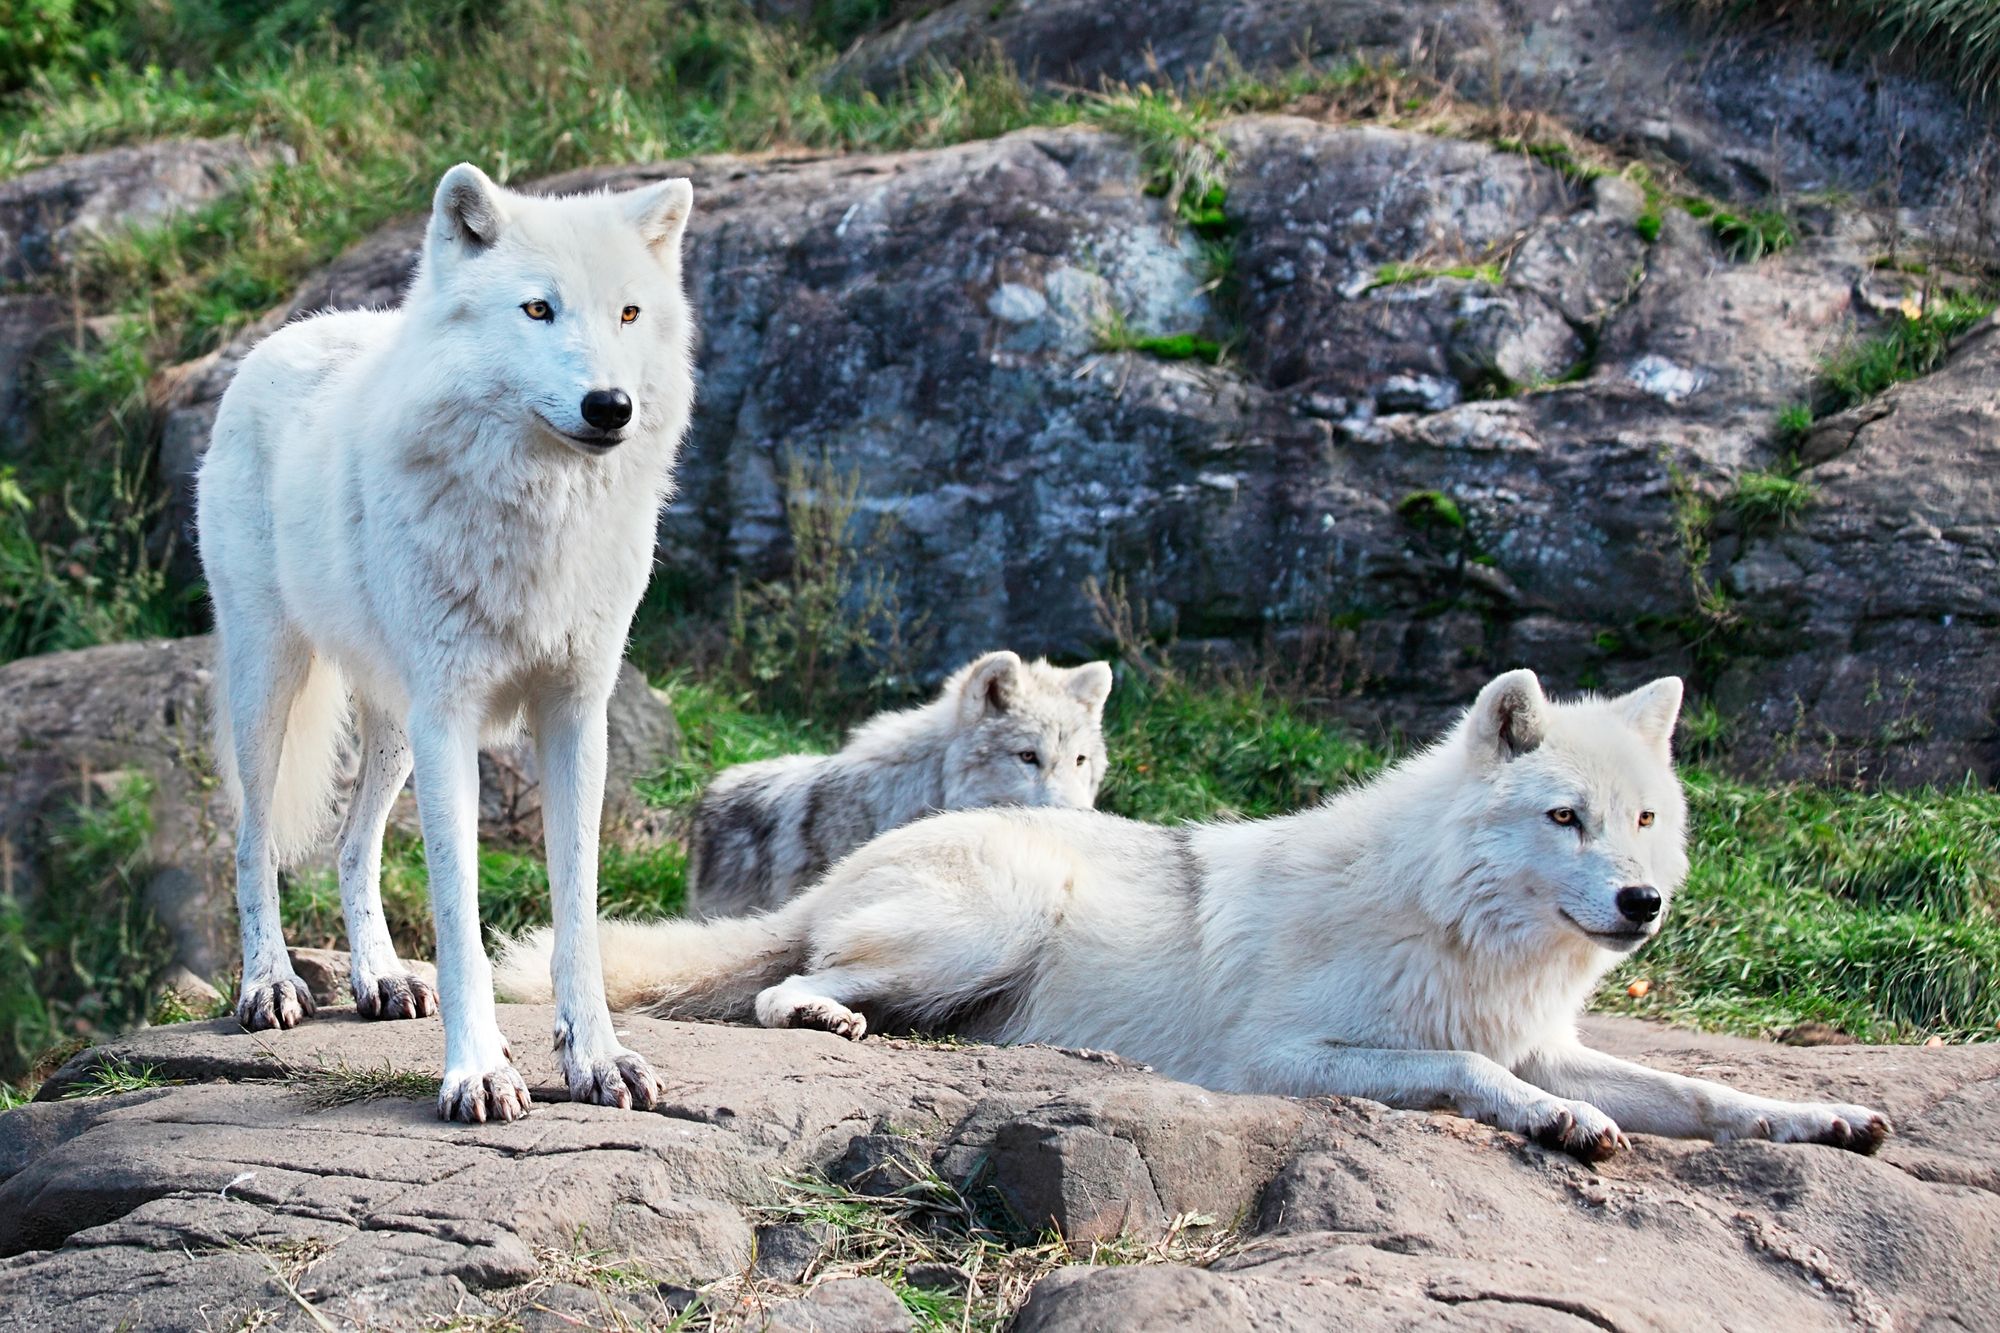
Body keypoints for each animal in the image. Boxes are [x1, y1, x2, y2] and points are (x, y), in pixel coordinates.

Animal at [196, 163, 696, 1120]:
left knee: (352, 845)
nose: (610, 406)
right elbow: (461, 918)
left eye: (627, 313)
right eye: (537, 309)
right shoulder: (452, 719)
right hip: (272, 683)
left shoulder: (574, 714)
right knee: (251, 842)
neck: (537, 517)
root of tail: (293, 332)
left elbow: (578, 911)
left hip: (397, 726)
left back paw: (382, 978)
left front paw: (598, 1057)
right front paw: (479, 1071)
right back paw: (269, 984)